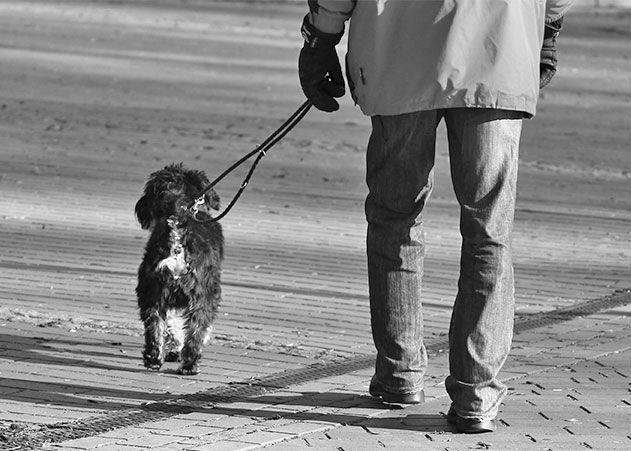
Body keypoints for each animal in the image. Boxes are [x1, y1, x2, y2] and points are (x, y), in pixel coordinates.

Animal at [135, 162, 223, 374]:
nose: (140, 207)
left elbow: (169, 325)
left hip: (151, 294)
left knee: (154, 327)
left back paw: (154, 359)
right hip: (203, 294)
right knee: (196, 330)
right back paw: (189, 364)